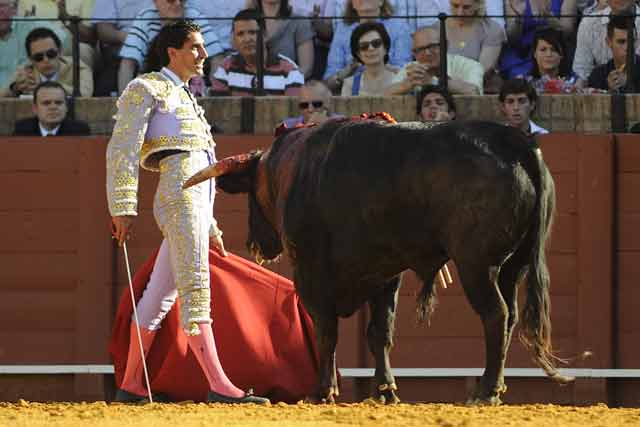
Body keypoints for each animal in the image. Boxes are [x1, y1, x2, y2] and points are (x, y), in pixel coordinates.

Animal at [184, 119, 568, 404]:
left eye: (251, 192)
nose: (255, 243)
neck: (291, 168)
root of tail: (516, 141)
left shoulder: (311, 270)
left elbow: (326, 329)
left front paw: (322, 391)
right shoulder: (383, 273)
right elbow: (379, 332)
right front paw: (385, 390)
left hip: (477, 264)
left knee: (495, 314)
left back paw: (485, 391)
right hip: (512, 265)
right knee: (510, 316)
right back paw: (496, 387)